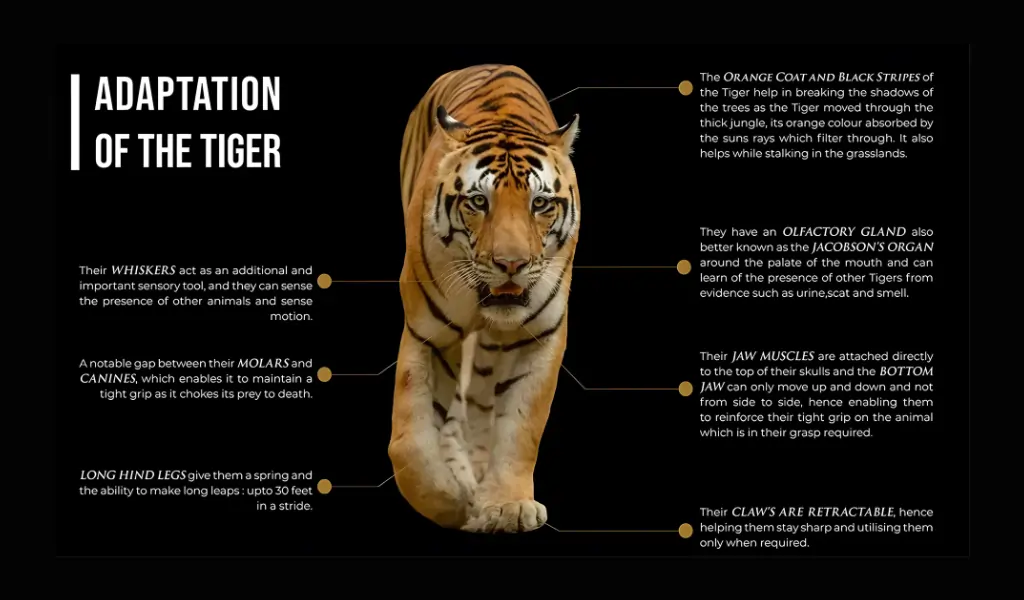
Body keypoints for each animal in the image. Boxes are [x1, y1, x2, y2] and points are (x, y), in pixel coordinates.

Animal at [388, 64, 581, 533]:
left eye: (540, 203)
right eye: (478, 201)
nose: (511, 263)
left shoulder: (541, 335)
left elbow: (520, 427)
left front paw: (507, 504)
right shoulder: (427, 333)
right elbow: (410, 442)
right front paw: (450, 502)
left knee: (477, 403)